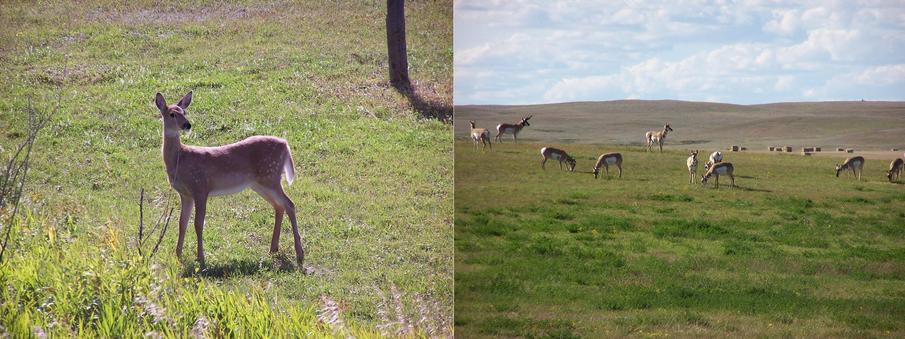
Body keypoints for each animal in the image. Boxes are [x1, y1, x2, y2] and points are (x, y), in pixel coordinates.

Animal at [157, 92, 306, 268]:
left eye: (184, 112)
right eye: (172, 114)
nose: (187, 125)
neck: (180, 159)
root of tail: (285, 144)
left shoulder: (201, 187)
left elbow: (198, 224)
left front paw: (200, 259)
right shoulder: (185, 194)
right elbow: (182, 223)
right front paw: (178, 256)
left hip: (271, 177)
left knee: (290, 204)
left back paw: (299, 254)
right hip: (260, 183)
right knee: (279, 206)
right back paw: (273, 249)